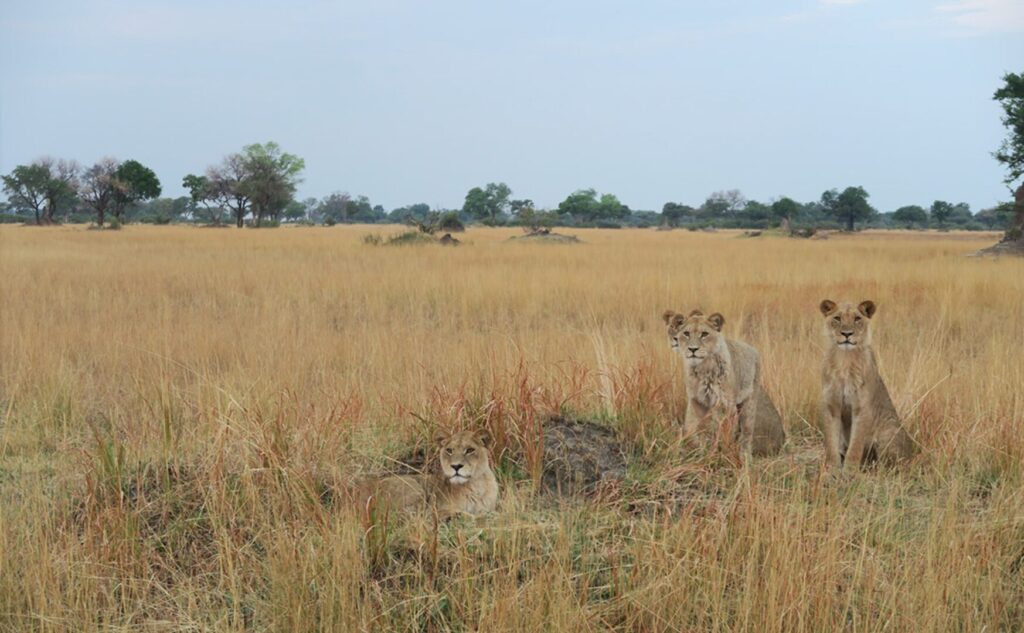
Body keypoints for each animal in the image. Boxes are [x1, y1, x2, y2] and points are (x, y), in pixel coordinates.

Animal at [355, 430, 499, 518]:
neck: (476, 485)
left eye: (469, 450)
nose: (456, 466)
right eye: (449, 450)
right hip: (413, 487)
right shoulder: (437, 507)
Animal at [662, 309, 785, 457]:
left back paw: (745, 456)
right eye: (686, 333)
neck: (703, 367)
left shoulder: (725, 404)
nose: (692, 349)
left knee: (746, 433)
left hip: (749, 404)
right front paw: (697, 450)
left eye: (704, 334)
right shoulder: (696, 401)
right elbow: (691, 427)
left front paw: (721, 454)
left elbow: (724, 431)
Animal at [818, 300, 915, 470]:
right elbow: (831, 442)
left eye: (857, 318)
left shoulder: (862, 407)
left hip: (889, 431)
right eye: (837, 318)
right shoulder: (831, 405)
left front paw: (849, 471)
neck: (845, 359)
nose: (847, 334)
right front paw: (832, 469)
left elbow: (856, 445)